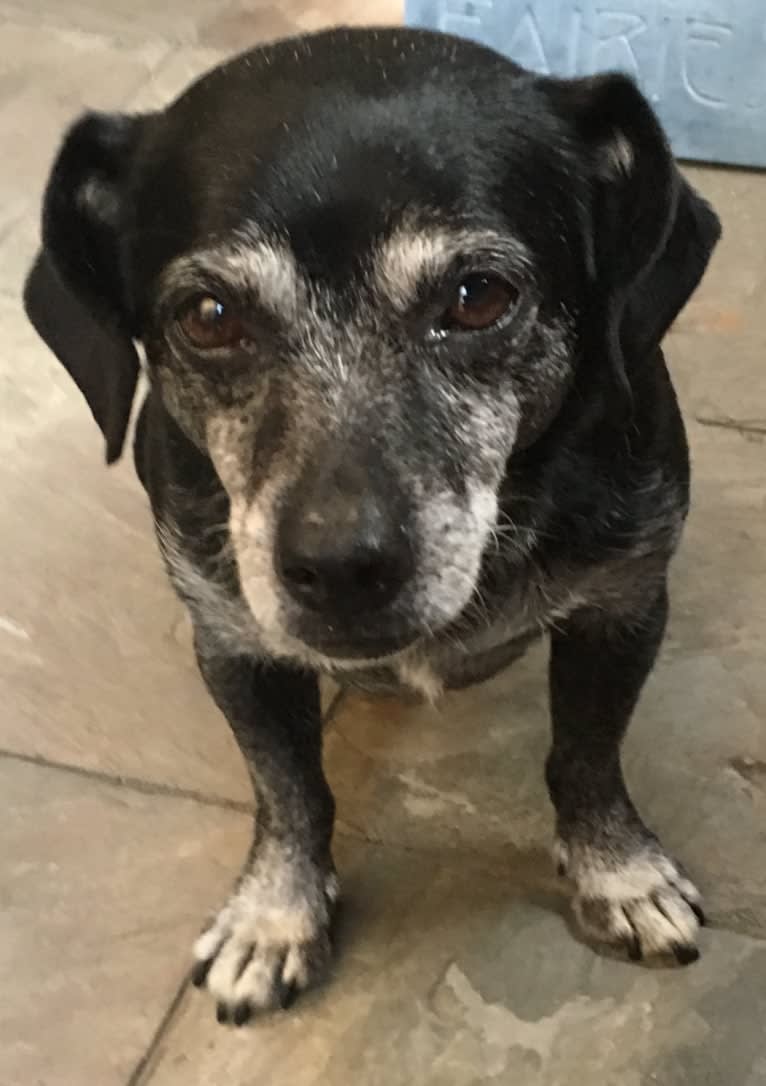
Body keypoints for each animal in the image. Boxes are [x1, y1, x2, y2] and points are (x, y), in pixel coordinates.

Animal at [23, 27, 717, 1025]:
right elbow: (289, 790)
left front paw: (618, 873)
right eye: (208, 316)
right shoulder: (235, 646)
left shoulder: (621, 610)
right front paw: (273, 916)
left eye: (476, 296)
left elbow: (587, 756)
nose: (340, 566)